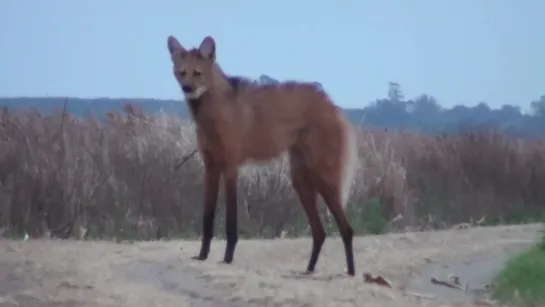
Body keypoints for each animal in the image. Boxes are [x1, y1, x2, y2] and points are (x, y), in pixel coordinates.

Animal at [166, 35, 362, 276]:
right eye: (182, 72)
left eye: (197, 73)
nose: (187, 88)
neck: (212, 111)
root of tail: (331, 104)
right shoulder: (211, 167)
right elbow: (208, 216)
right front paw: (203, 255)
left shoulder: (230, 166)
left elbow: (231, 220)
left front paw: (228, 258)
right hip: (301, 180)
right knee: (320, 232)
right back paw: (309, 270)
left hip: (322, 178)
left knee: (347, 229)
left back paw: (350, 273)